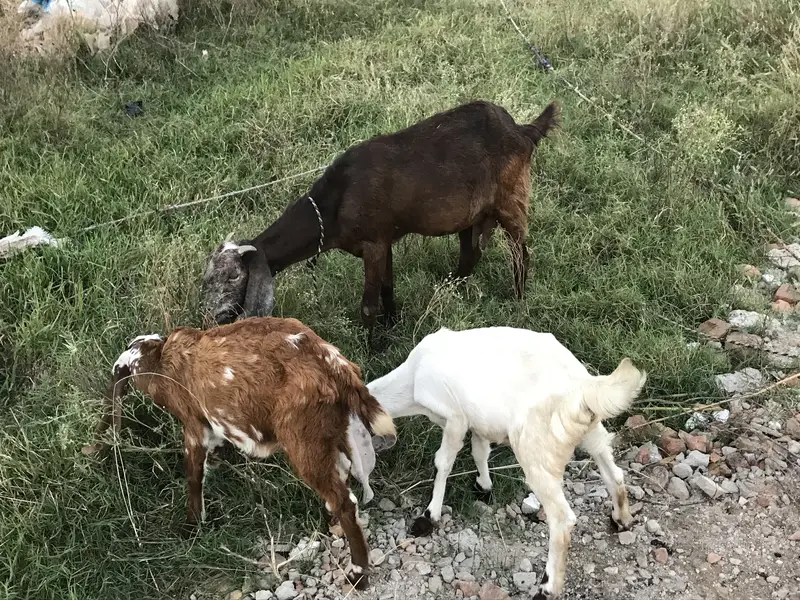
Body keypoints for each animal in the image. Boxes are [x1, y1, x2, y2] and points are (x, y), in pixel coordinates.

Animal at [82, 317, 397, 590]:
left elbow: (193, 475)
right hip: (333, 432)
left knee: (345, 501)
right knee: (342, 478)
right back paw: (331, 523)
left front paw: (191, 528)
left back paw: (358, 575)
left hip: (303, 440)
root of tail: (335, 366)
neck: (161, 361)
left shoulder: (194, 424)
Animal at [201, 100, 559, 329]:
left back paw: (518, 300)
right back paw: (451, 291)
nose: (209, 317)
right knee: (470, 255)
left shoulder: (373, 242)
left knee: (521, 251)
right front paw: (392, 325)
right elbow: (388, 287)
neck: (334, 204)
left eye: (233, 277)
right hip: (471, 215)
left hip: (511, 197)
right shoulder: (384, 241)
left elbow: (368, 306)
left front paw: (374, 348)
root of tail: (522, 130)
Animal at [366, 326, 646, 599]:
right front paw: (484, 486)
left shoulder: (456, 417)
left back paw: (547, 588)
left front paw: (429, 515)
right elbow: (479, 452)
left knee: (561, 517)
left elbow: (443, 461)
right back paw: (621, 520)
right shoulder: (479, 422)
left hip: (536, 449)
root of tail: (585, 386)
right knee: (614, 473)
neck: (413, 378)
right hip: (591, 430)